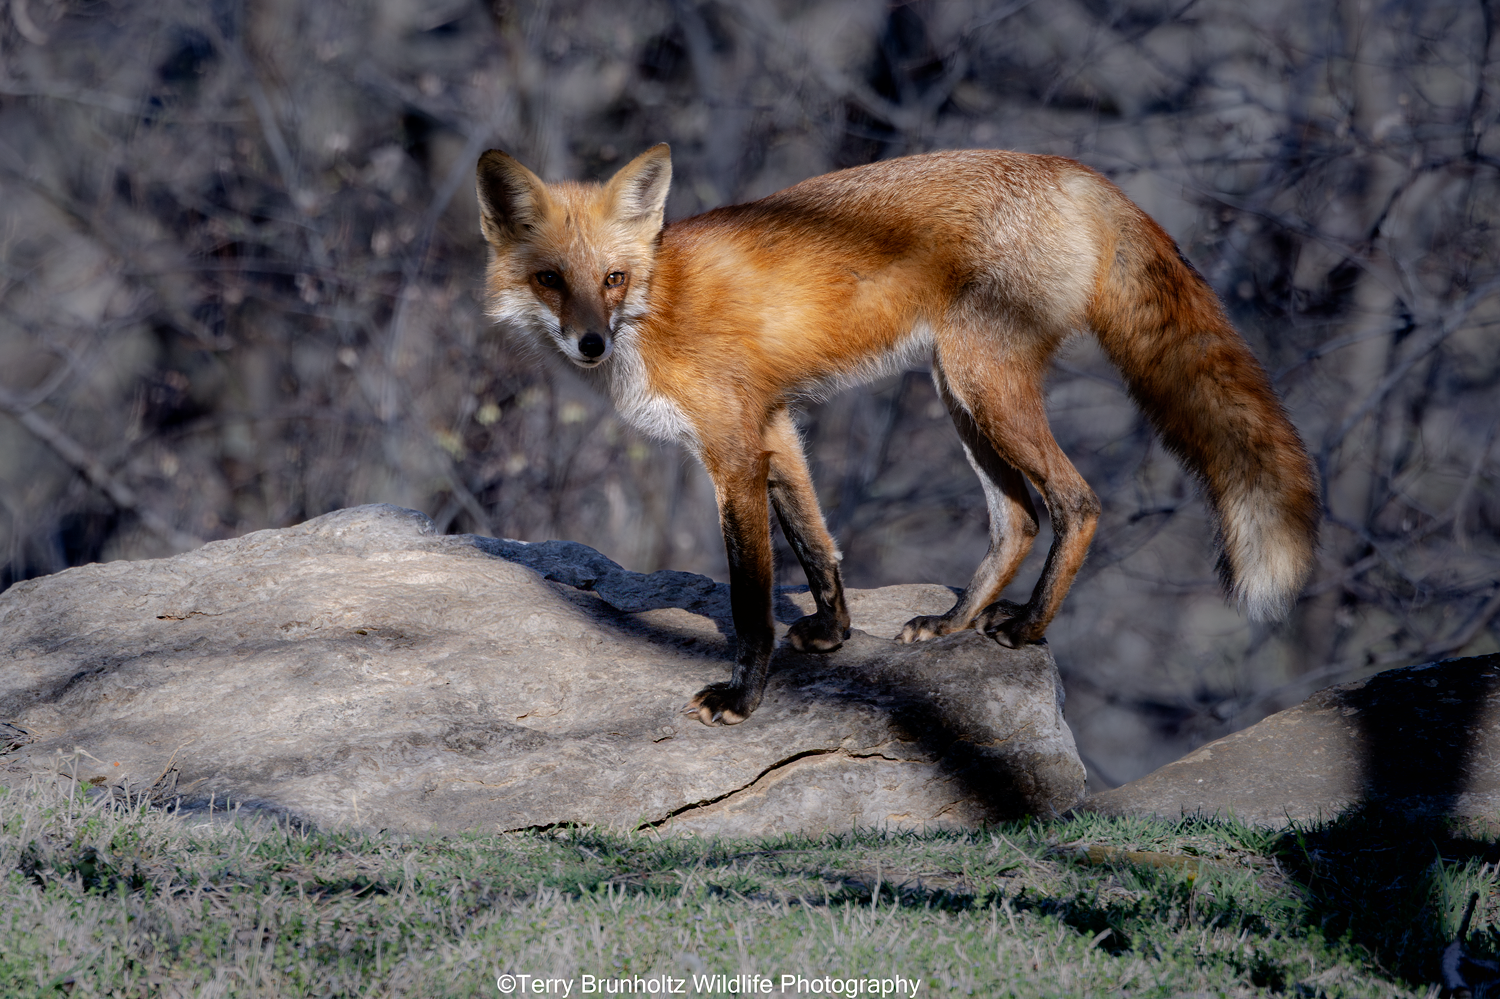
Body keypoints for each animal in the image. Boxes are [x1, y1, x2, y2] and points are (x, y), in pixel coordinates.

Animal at [475, 144, 1320, 727]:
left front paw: (744, 698)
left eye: (612, 279)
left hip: (982, 385)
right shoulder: (776, 427)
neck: (658, 302)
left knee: (1076, 501)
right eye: (551, 279)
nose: (591, 343)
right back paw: (956, 621)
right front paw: (836, 633)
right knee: (1017, 518)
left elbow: (750, 598)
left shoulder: (732, 450)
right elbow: (817, 542)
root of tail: (1075, 170)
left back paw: (1026, 626)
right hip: (960, 395)